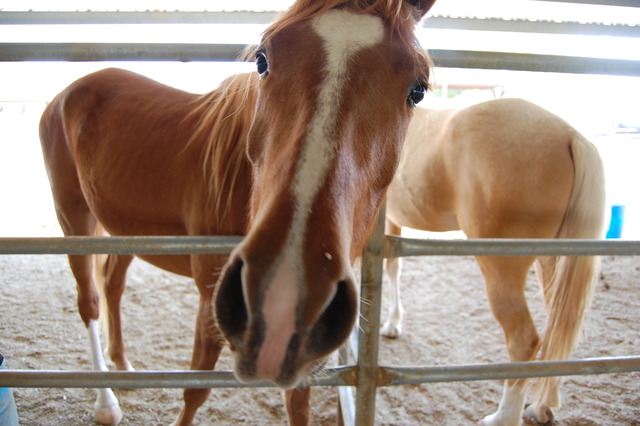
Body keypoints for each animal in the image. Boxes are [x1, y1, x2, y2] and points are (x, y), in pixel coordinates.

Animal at [39, 0, 437, 424]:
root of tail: (67, 93)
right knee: (90, 302)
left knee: (112, 285)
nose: (282, 303)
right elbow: (195, 390)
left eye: (418, 90)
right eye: (262, 59)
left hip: (124, 230)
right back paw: (106, 401)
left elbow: (298, 404)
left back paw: (124, 367)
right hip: (74, 222)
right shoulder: (208, 300)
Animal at [382, 98, 606, 425]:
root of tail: (570, 135)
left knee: (524, 340)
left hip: (500, 268)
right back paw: (544, 405)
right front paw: (393, 324)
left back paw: (503, 416)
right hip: (552, 262)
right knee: (559, 325)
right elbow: (393, 268)